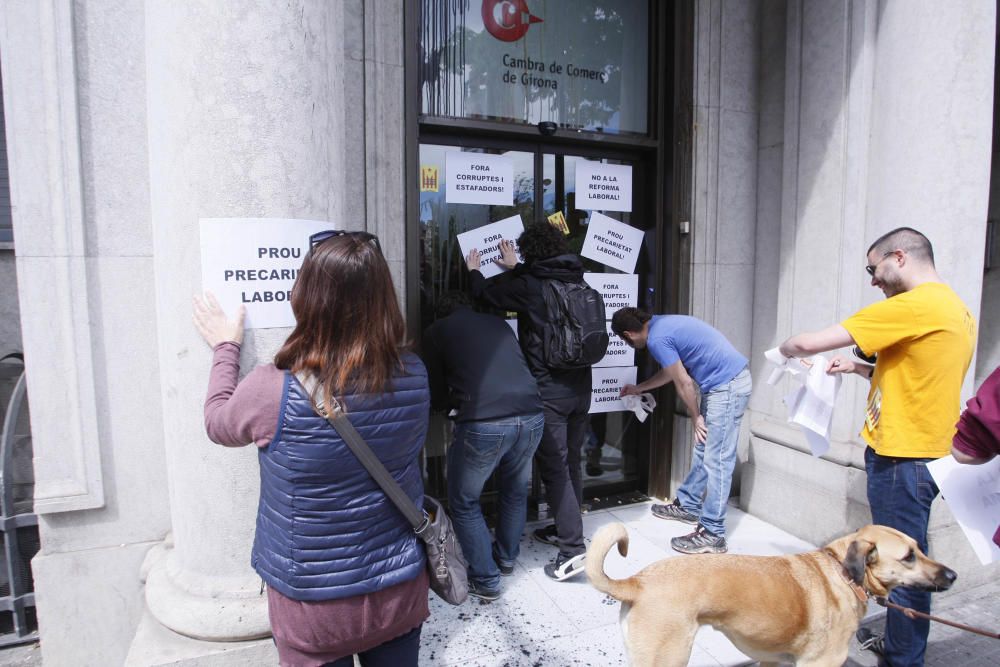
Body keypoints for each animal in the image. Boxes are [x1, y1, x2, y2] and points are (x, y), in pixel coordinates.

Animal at [588, 524, 956, 664]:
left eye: (920, 549)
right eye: (909, 557)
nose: (953, 575)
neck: (842, 573)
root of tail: (638, 581)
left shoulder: (772, 660)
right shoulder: (820, 664)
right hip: (668, 657)